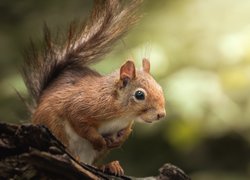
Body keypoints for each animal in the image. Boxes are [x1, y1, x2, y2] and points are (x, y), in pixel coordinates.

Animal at [22, 0, 166, 176]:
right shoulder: (81, 106)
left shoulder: (124, 123)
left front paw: (119, 140)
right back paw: (76, 157)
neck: (122, 113)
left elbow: (125, 132)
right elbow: (82, 125)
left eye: (160, 87)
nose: (161, 114)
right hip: (53, 125)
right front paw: (100, 142)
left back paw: (109, 166)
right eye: (139, 95)